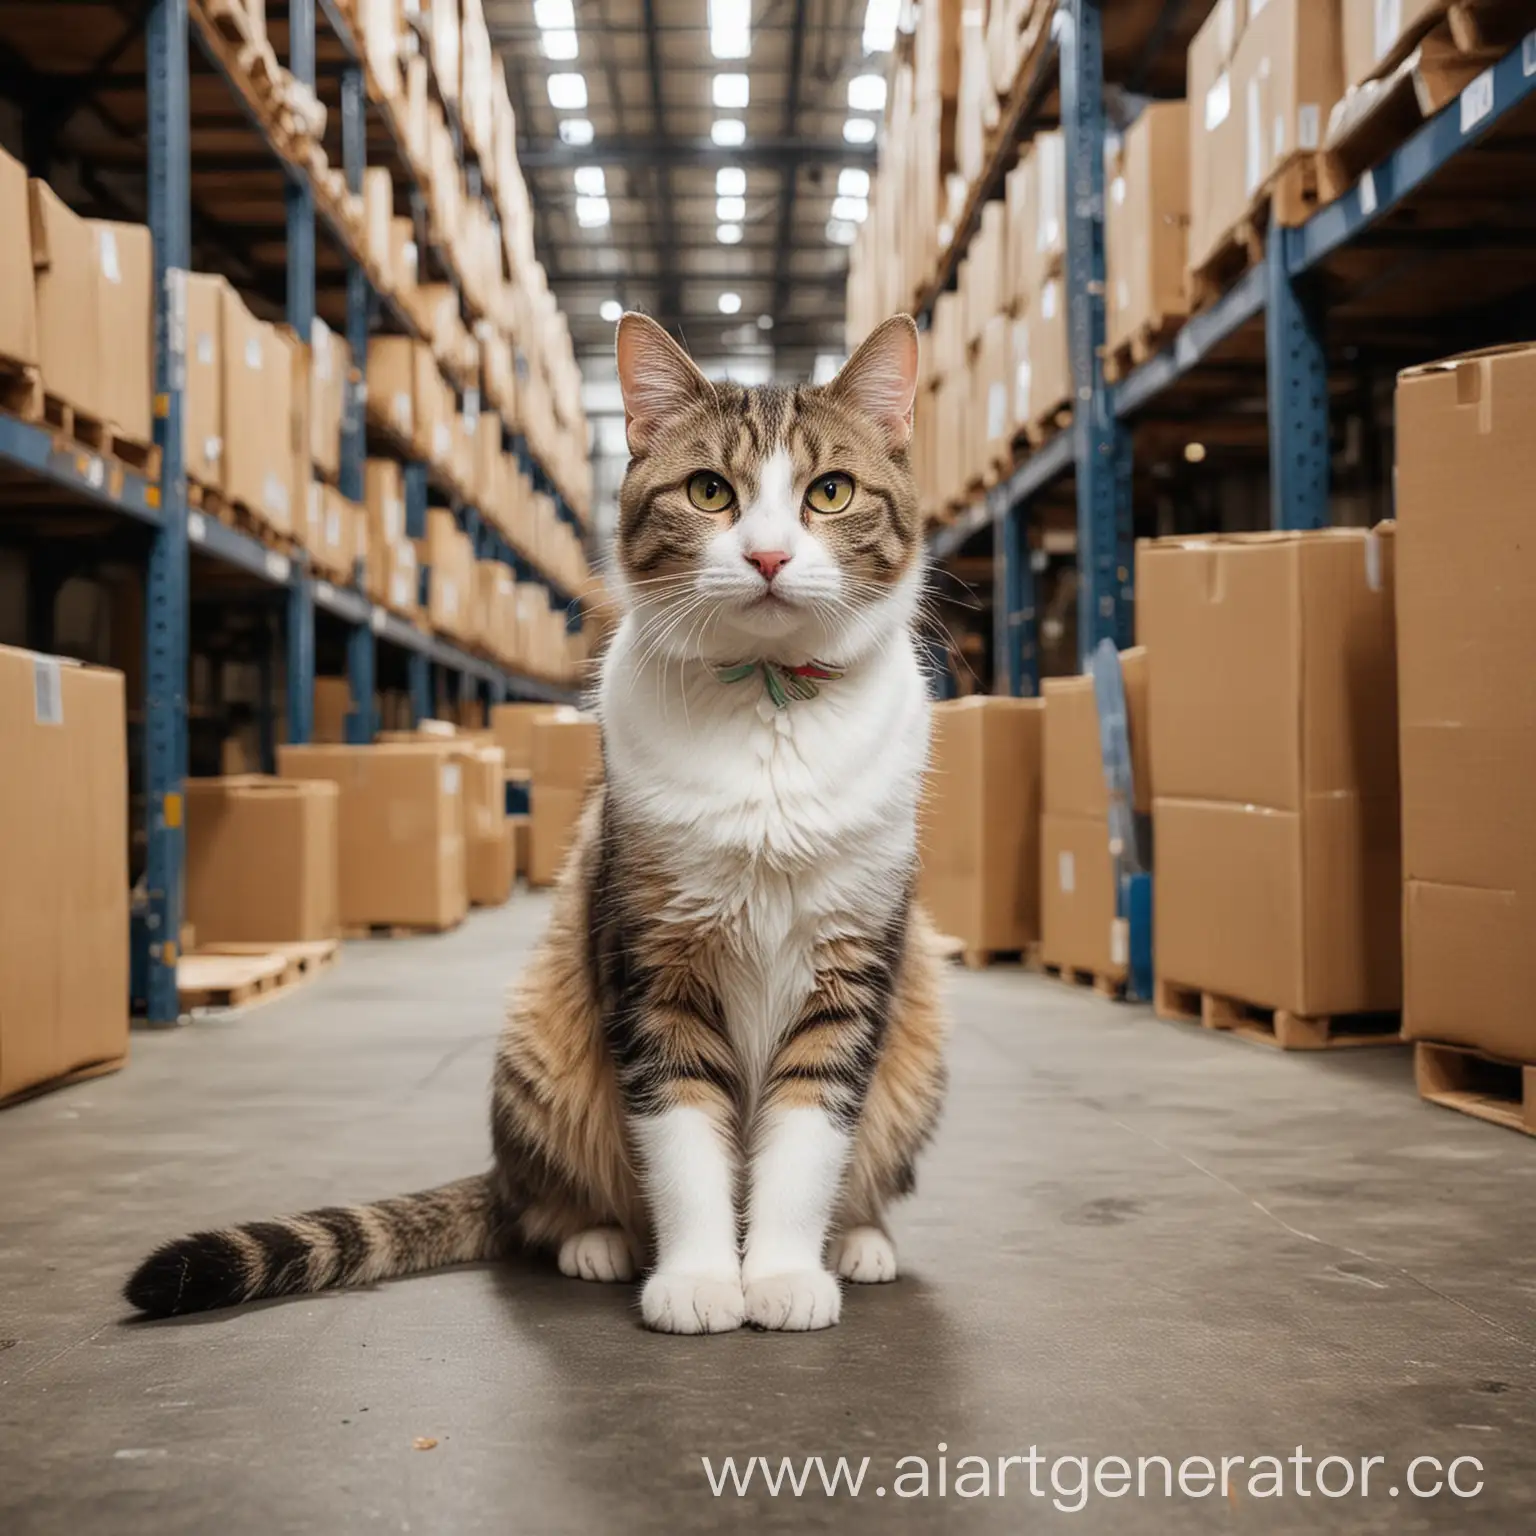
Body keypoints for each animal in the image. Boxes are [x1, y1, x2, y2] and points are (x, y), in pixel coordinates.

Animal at [129, 308, 946, 1333]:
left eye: (830, 492)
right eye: (709, 491)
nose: (766, 557)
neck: (767, 708)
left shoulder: (855, 958)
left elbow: (808, 1130)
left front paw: (787, 1272)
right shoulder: (648, 951)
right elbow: (681, 1130)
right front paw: (699, 1279)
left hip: (921, 1024)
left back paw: (860, 1239)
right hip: (541, 1027)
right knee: (540, 1201)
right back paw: (596, 1241)